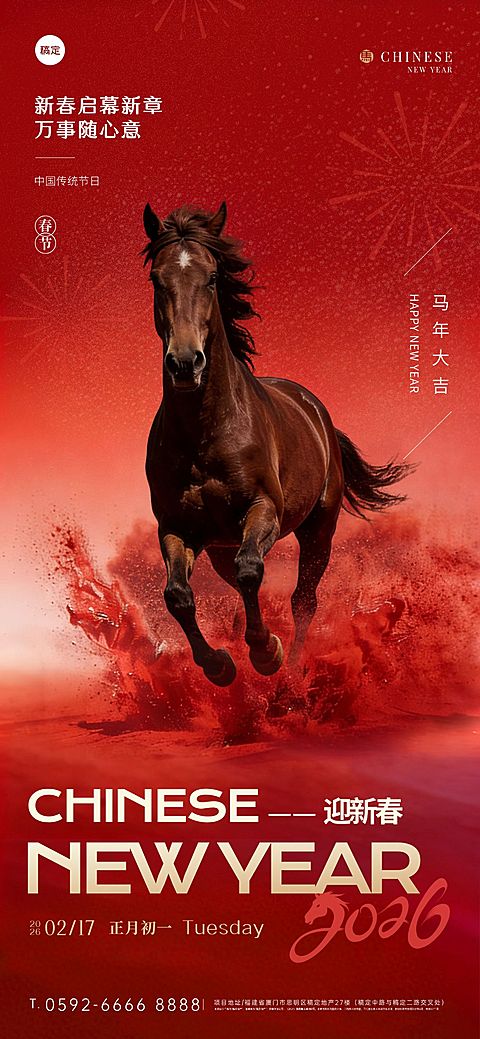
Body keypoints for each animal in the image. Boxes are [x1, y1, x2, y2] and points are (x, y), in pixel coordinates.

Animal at [142, 202, 411, 689]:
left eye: (212, 277)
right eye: (157, 278)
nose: (186, 363)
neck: (205, 433)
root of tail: (316, 410)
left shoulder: (263, 508)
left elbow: (253, 571)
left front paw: (267, 652)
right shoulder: (176, 527)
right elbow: (177, 596)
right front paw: (220, 665)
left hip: (318, 529)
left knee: (303, 598)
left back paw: (294, 669)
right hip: (218, 547)